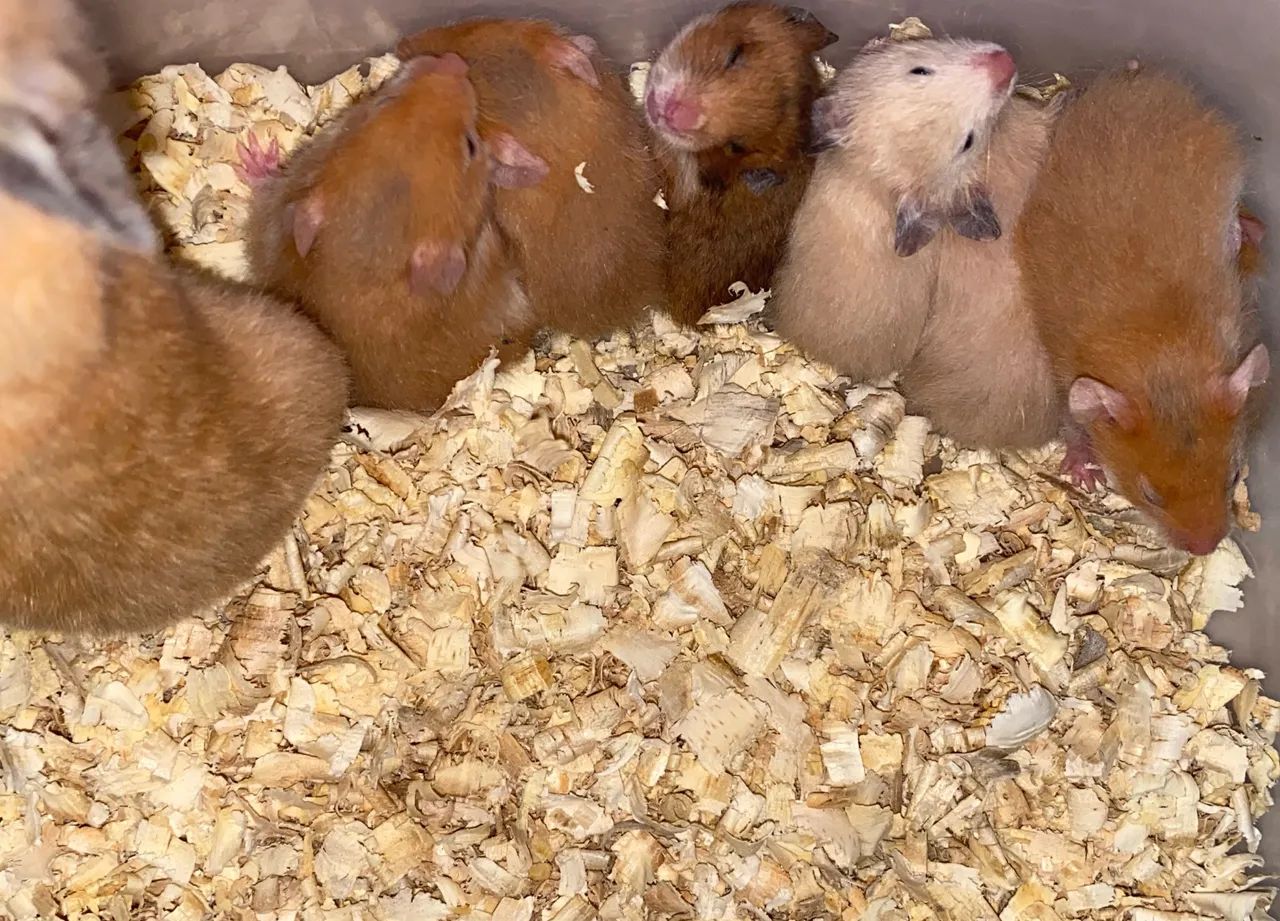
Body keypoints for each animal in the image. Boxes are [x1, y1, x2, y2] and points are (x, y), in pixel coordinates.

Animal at [1015, 67, 1268, 556]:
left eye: (1233, 477)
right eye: (1150, 494)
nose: (1205, 550)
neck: (1161, 356)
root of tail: (1141, 78)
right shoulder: (1066, 375)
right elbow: (1074, 428)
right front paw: (1085, 477)